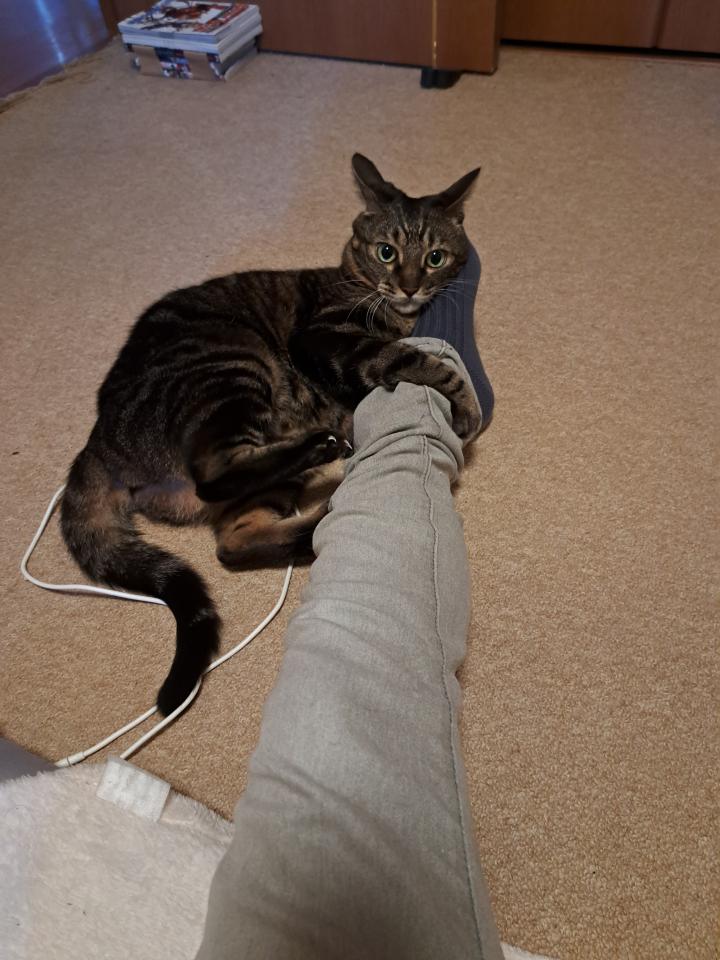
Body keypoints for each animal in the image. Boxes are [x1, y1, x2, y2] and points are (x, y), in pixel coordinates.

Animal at [60, 154, 481, 715]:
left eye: (435, 257)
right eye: (386, 252)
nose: (411, 286)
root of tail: (99, 438)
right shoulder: (324, 337)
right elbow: (413, 359)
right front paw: (465, 402)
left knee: (234, 543)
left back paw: (318, 519)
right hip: (234, 362)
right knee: (213, 471)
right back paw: (321, 451)